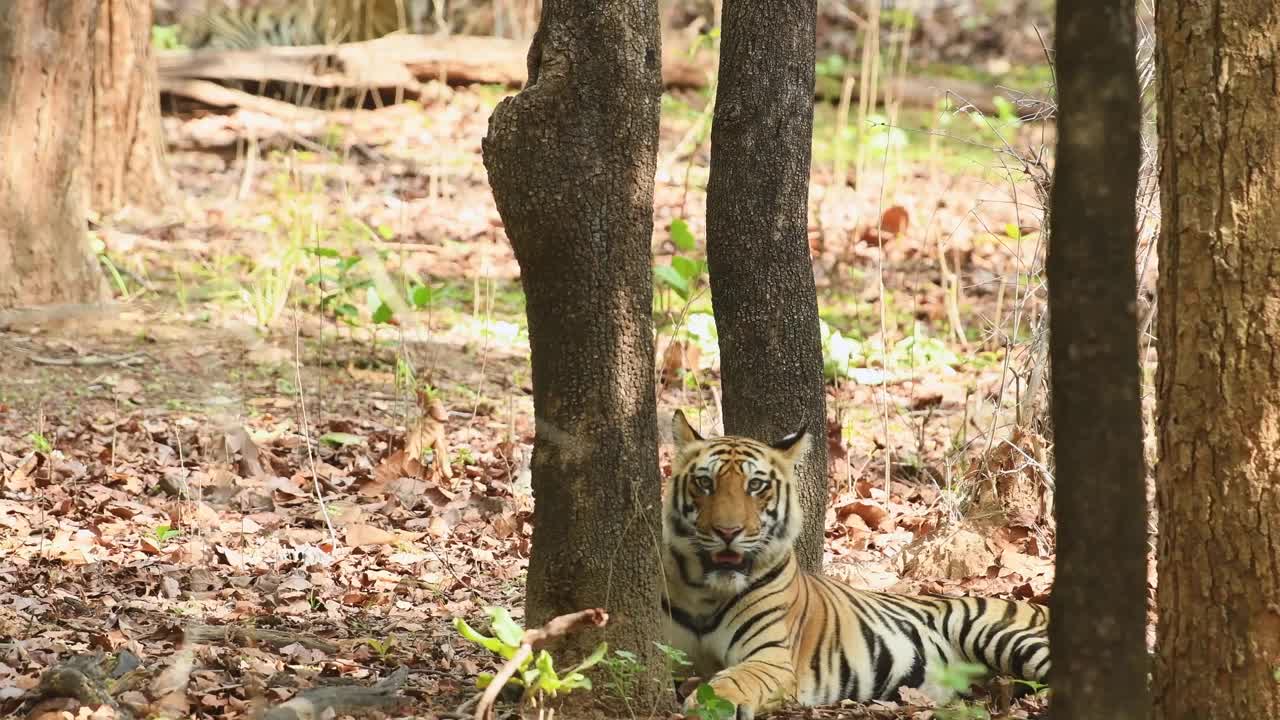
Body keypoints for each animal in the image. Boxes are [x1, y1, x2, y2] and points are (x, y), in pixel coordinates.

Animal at [660, 409, 1049, 717]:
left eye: (755, 485)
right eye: (704, 483)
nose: (728, 531)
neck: (707, 590)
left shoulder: (770, 656)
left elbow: (736, 680)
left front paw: (711, 703)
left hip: (996, 633)